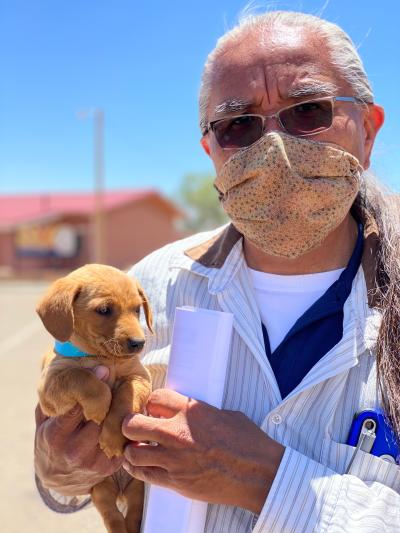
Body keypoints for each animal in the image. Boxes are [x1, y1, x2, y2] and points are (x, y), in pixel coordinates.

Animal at [36, 264, 153, 528]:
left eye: (137, 309)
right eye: (104, 310)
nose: (139, 343)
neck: (102, 357)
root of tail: (120, 490)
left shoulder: (140, 377)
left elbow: (124, 398)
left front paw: (112, 437)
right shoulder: (49, 388)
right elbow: (82, 377)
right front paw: (99, 407)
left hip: (137, 487)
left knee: (133, 516)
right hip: (101, 491)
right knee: (114, 519)